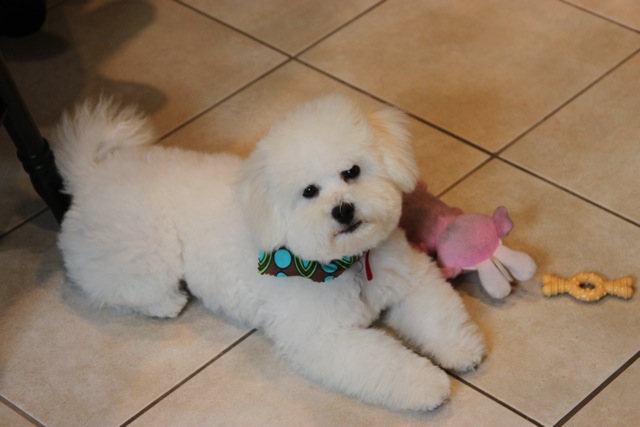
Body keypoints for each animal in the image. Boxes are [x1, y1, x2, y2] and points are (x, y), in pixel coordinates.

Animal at [53, 96, 484, 412]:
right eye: (309, 191)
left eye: (352, 171)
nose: (343, 210)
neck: (345, 264)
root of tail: (91, 173)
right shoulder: (325, 337)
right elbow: (386, 363)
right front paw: (428, 383)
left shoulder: (410, 281)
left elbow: (437, 317)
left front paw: (461, 348)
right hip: (145, 254)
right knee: (109, 283)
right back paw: (165, 302)